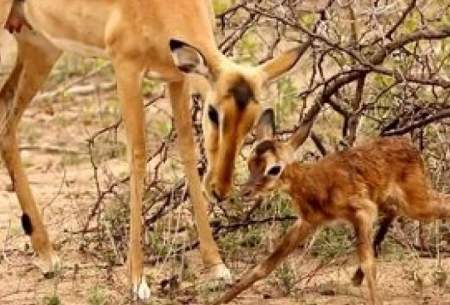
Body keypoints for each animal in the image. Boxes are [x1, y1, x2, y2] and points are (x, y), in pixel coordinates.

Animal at [214, 108, 450, 304]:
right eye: (250, 163)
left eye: (274, 168)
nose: (245, 192)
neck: (312, 185)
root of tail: (411, 147)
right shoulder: (307, 223)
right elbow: (264, 266)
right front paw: (218, 300)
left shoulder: (363, 212)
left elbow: (369, 263)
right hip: (394, 202)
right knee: (395, 212)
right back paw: (356, 277)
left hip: (417, 203)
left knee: (443, 203)